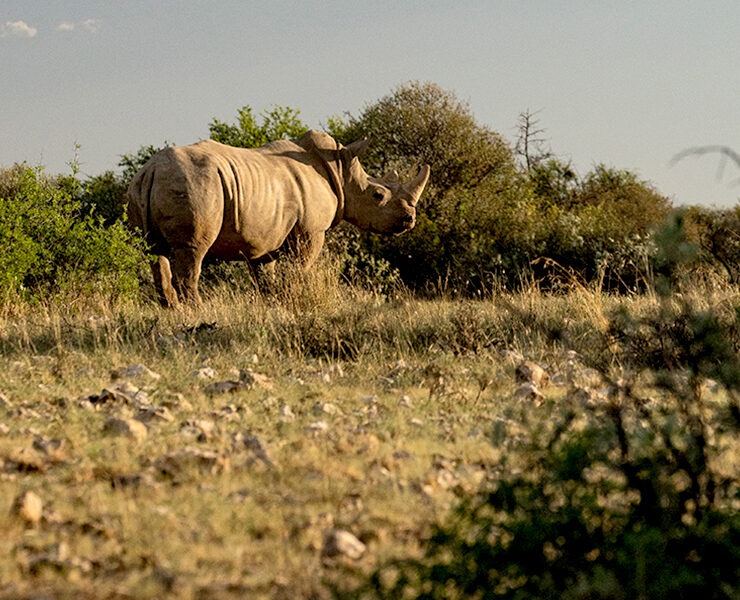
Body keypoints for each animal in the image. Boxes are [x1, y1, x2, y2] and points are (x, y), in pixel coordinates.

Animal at [126, 130, 430, 307]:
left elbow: (265, 278)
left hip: (142, 188)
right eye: (378, 195)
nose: (409, 219)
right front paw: (293, 300)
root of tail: (151, 170)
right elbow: (298, 269)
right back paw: (198, 311)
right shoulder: (310, 231)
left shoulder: (263, 238)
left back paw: (173, 310)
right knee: (192, 252)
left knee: (154, 252)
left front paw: (272, 304)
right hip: (196, 184)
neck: (342, 172)